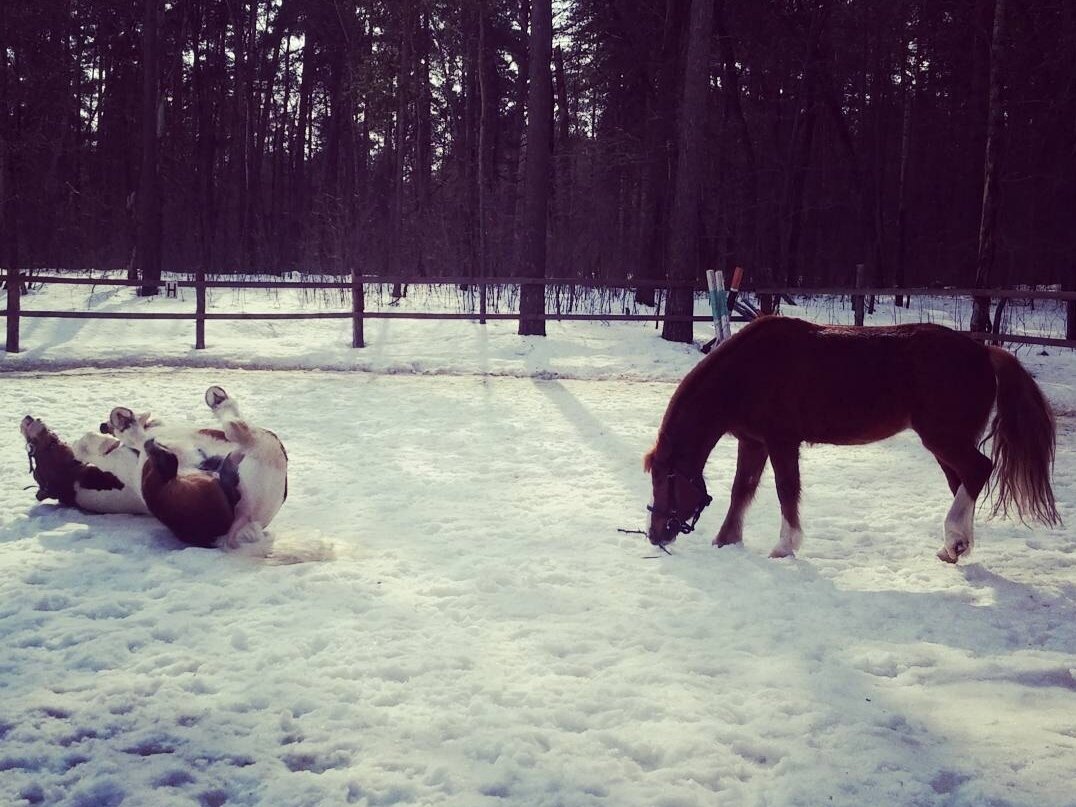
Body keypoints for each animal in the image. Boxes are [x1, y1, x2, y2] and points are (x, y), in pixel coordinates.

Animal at [645, 316, 1058, 563]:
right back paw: (953, 546)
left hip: (943, 438)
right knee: (963, 481)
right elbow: (741, 490)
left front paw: (785, 546)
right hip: (946, 444)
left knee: (978, 470)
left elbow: (785, 489)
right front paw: (726, 540)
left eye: (665, 478)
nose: (655, 534)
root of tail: (985, 352)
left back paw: (954, 540)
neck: (747, 371)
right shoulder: (754, 442)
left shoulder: (781, 442)